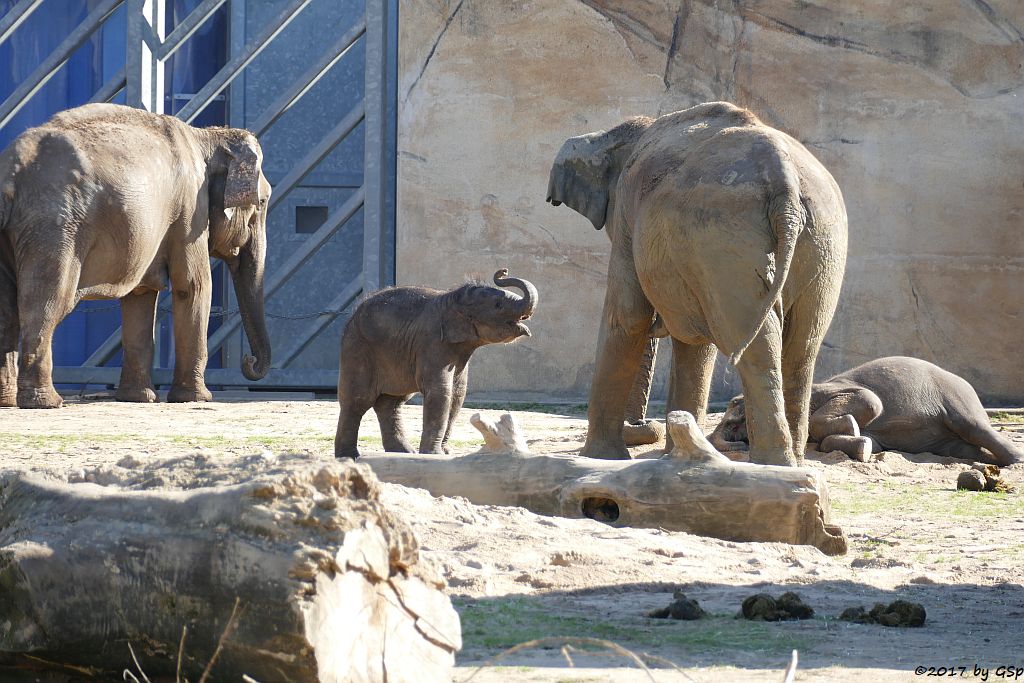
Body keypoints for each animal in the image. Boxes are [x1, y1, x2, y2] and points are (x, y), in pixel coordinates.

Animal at [0, 104, 272, 409]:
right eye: (262, 202)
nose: (249, 361)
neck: (206, 137)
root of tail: (10, 172)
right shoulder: (190, 210)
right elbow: (193, 286)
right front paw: (195, 398)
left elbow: (141, 294)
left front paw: (138, 398)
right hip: (54, 227)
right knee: (46, 301)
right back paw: (46, 402)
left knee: (6, 310)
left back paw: (8, 401)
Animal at [335, 268, 540, 458]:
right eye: (498, 305)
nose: (503, 272)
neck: (452, 299)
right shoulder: (432, 343)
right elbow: (441, 391)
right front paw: (434, 454)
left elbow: (458, 394)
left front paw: (445, 453)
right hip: (358, 349)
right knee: (359, 400)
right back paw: (349, 456)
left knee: (391, 403)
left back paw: (404, 452)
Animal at [552, 100, 847, 464]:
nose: (641, 426)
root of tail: (786, 184)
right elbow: (694, 344)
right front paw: (675, 456)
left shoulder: (627, 216)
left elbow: (628, 317)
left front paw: (602, 459)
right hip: (823, 243)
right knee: (802, 347)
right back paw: (793, 464)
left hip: (725, 237)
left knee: (754, 347)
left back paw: (773, 465)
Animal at [712, 356, 1024, 466]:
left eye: (731, 424)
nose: (739, 443)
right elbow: (869, 442)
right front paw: (862, 446)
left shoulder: (829, 391)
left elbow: (870, 401)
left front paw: (851, 427)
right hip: (946, 440)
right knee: (963, 448)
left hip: (957, 397)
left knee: (974, 427)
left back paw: (1016, 461)